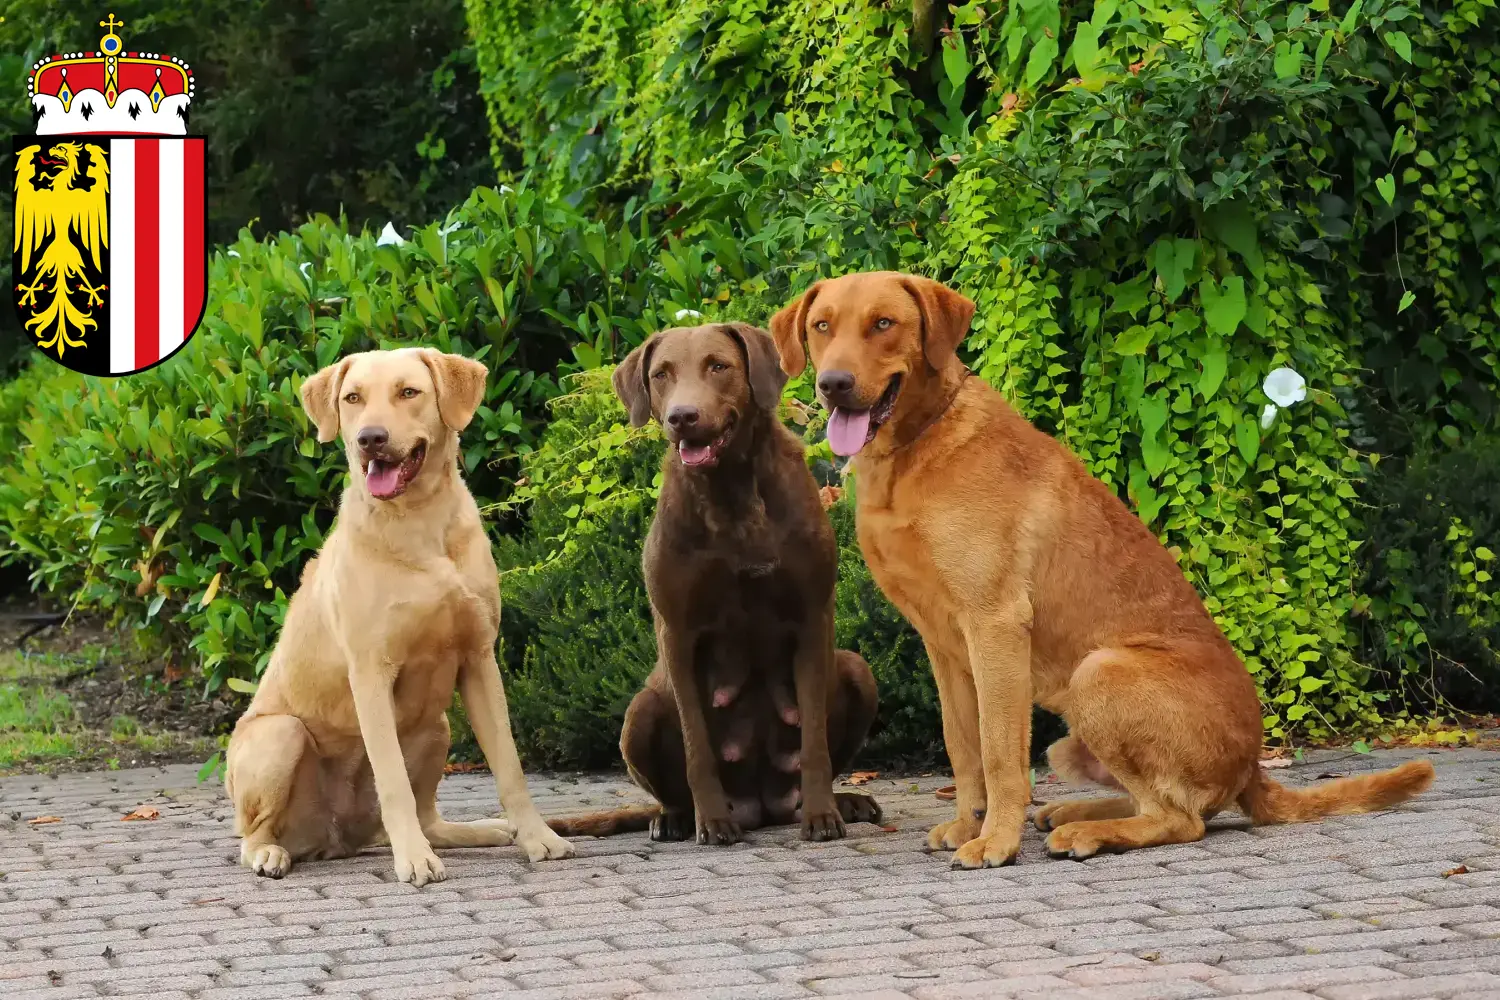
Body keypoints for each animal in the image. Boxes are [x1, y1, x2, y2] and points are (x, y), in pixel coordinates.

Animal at [225, 346, 570, 881]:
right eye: (352, 398)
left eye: (409, 392)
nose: (370, 438)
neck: (419, 522)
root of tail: (334, 841)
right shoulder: (371, 672)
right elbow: (393, 782)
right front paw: (413, 860)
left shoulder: (479, 659)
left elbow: (510, 766)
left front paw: (537, 837)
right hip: (279, 735)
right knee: (253, 832)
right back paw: (270, 853)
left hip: (437, 725)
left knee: (430, 816)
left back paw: (481, 830)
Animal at [549, 325, 876, 839]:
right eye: (661, 374)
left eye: (718, 366)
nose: (683, 417)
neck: (731, 492)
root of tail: (762, 806)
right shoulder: (678, 632)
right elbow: (696, 744)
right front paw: (713, 821)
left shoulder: (811, 617)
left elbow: (814, 742)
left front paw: (823, 814)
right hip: (640, 710)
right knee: (670, 781)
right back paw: (676, 818)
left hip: (857, 669)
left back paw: (841, 802)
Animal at [768, 271, 1434, 869]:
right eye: (822, 326)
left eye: (884, 324)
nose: (833, 384)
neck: (914, 451)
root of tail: (1251, 767)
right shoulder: (943, 645)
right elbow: (963, 747)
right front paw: (967, 826)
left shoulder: (994, 627)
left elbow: (1000, 755)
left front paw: (996, 842)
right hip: (1071, 740)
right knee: (1163, 803)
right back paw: (1072, 813)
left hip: (1099, 673)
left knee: (1182, 819)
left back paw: (1084, 832)